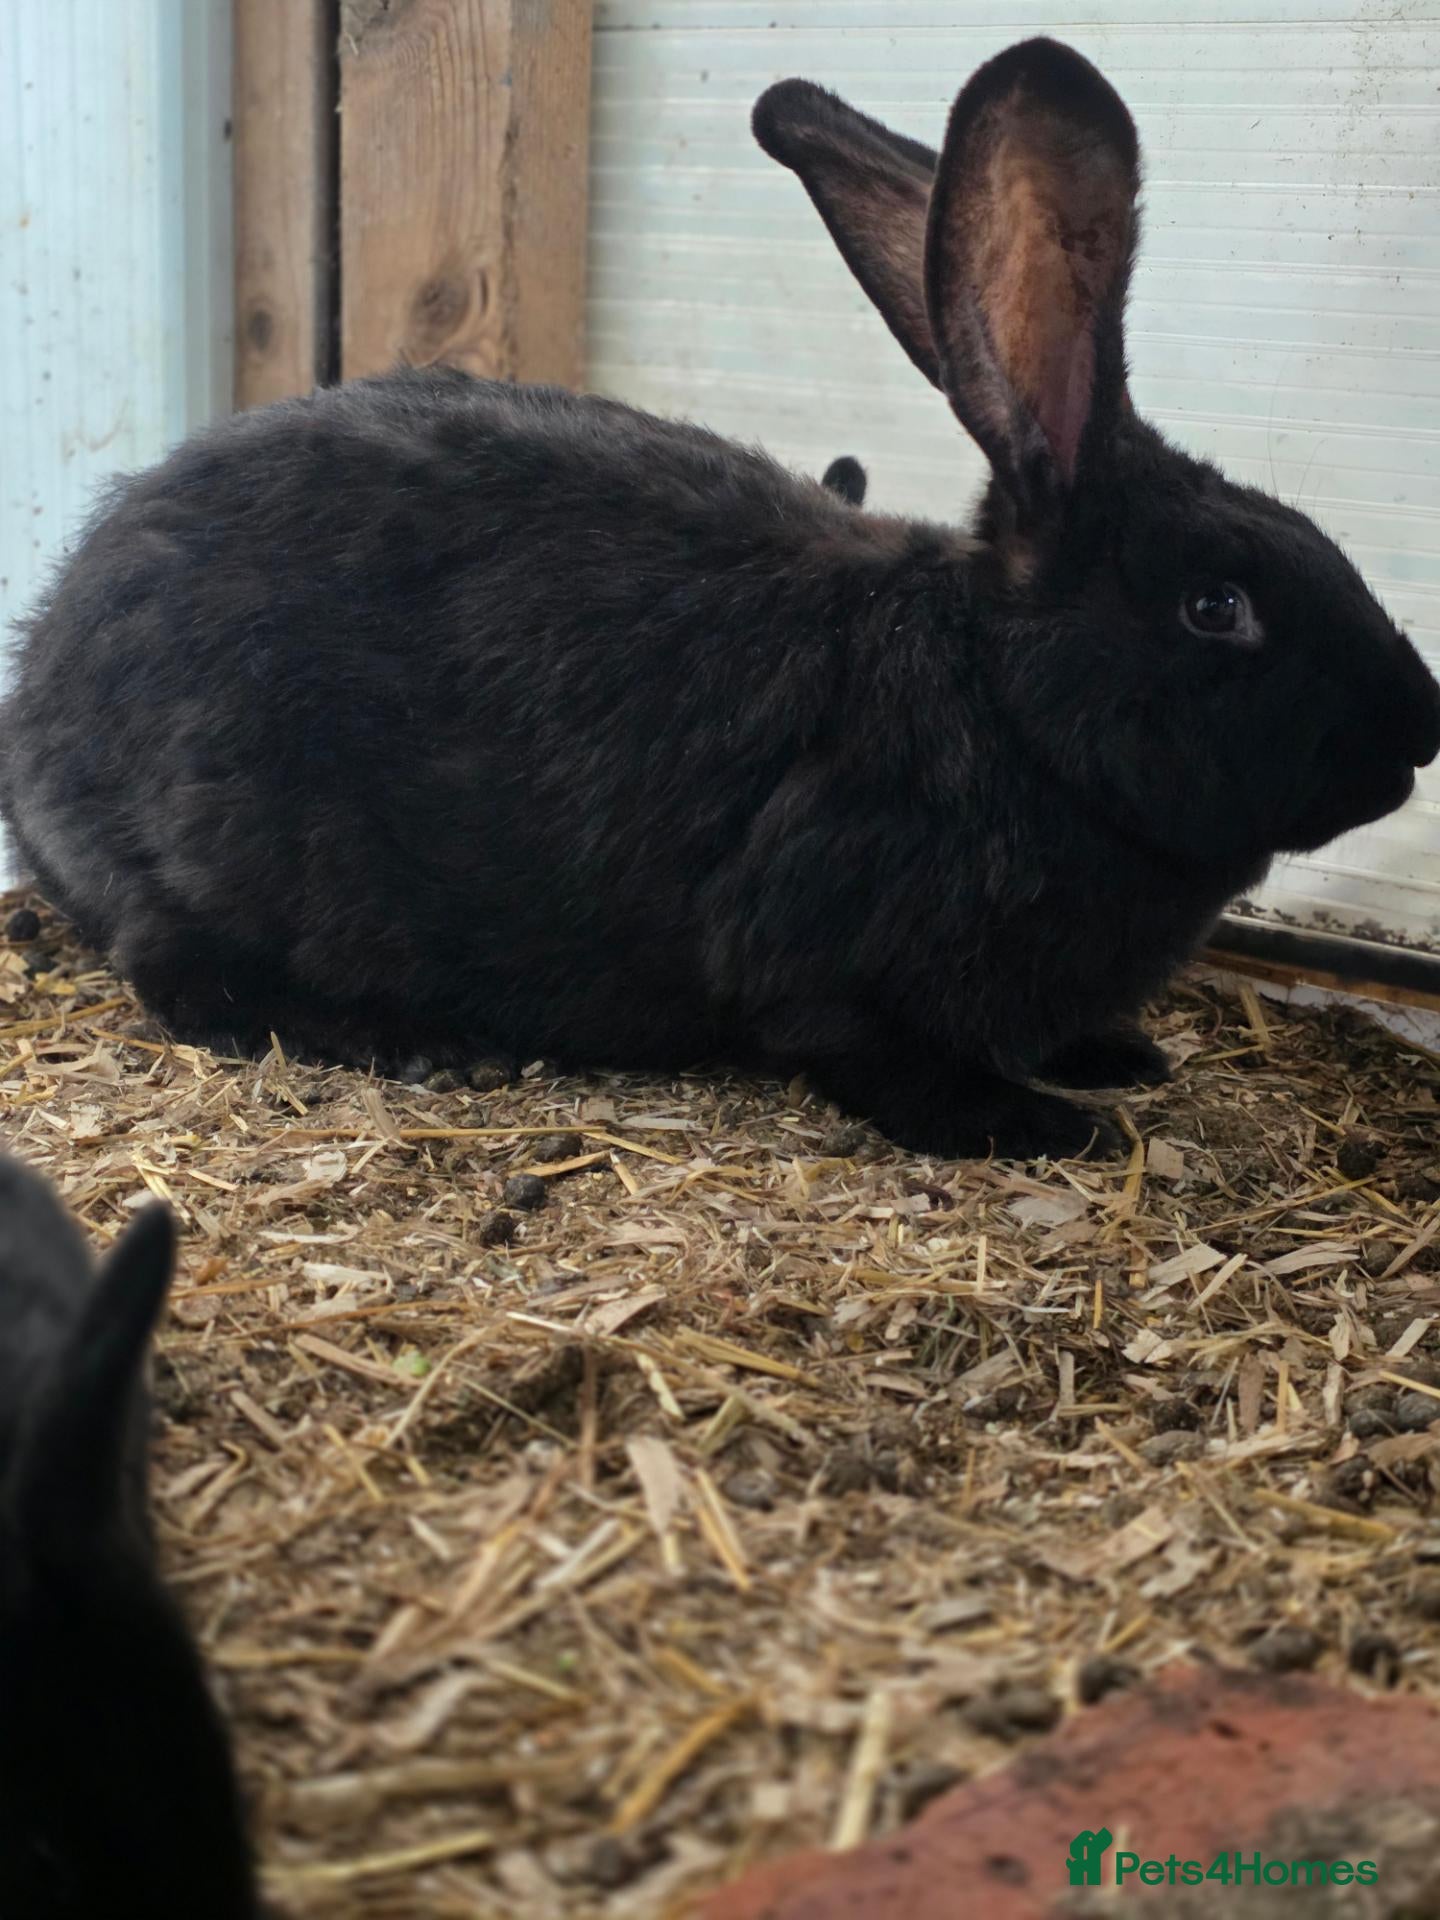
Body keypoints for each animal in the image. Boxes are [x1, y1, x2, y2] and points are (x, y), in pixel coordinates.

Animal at [3, 37, 1437, 1160]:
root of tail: (39, 706)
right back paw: (411, 1040)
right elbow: (879, 1056)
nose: (1419, 726)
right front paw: (1046, 1121)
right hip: (215, 848)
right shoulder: (818, 953)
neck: (1002, 706)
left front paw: (1115, 1055)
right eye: (1218, 608)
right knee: (184, 980)